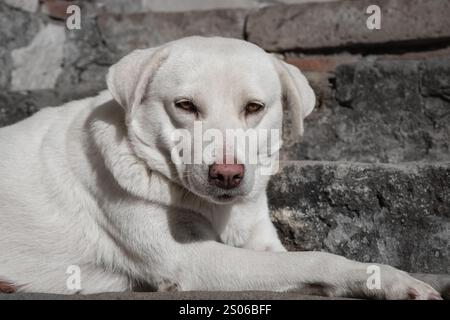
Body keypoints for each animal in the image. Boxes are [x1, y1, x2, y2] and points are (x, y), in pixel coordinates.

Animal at [0, 37, 446, 300]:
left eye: (254, 107)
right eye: (185, 106)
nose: (228, 175)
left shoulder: (261, 243)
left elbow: (294, 260)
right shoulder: (192, 261)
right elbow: (316, 257)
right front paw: (390, 279)